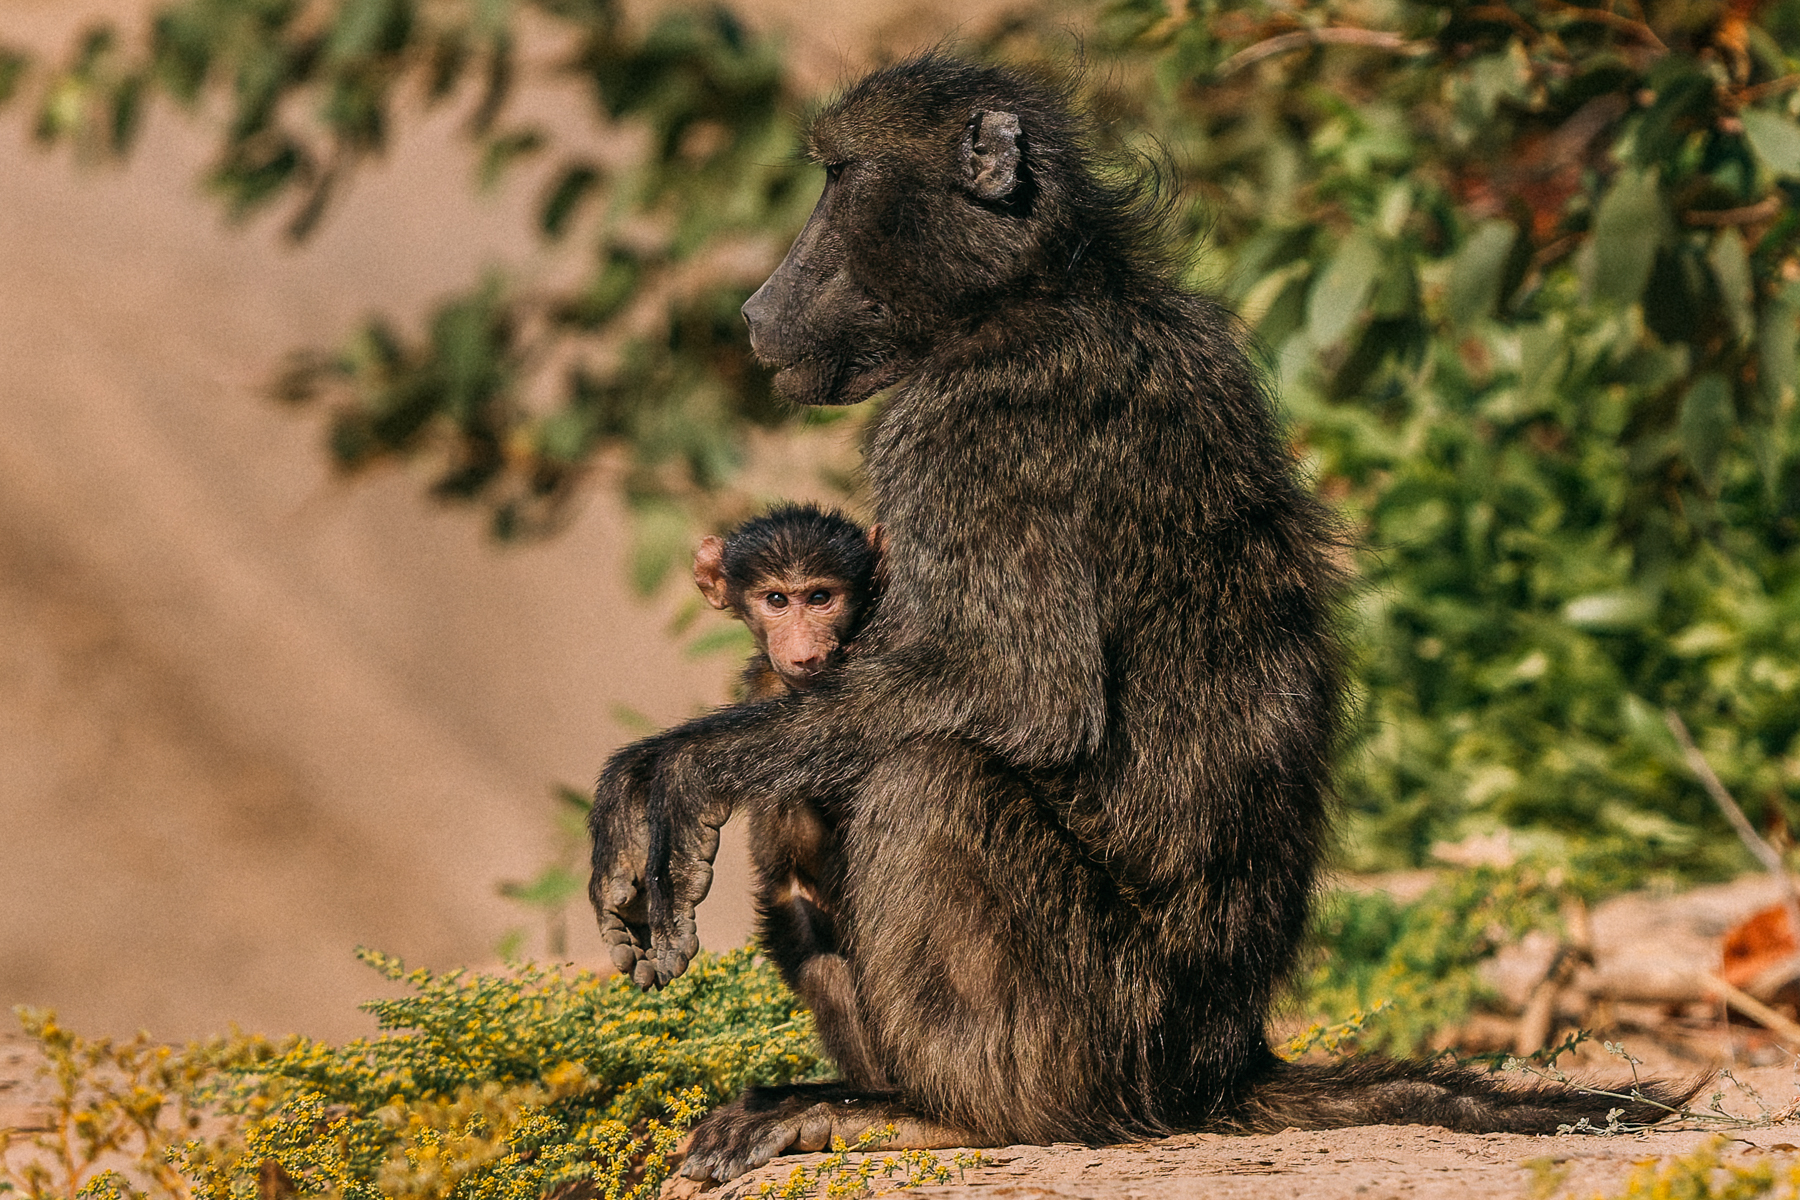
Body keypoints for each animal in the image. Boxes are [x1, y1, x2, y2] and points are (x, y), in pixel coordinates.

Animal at [589, 54, 1699, 1182]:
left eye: (837, 177)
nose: (756, 307)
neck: (1038, 291)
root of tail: (1222, 1065)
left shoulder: (967, 432)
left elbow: (1020, 693)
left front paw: (668, 775)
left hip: (1105, 1030)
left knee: (931, 778)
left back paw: (944, 1113)